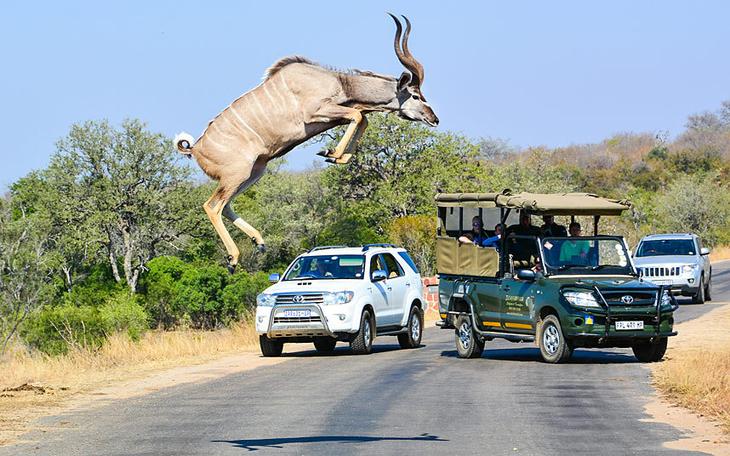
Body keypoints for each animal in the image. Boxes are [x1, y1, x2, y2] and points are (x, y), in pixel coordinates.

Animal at [175, 13, 438, 270]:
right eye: (415, 95)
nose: (434, 119)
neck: (340, 83)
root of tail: (196, 149)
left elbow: (362, 118)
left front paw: (336, 156)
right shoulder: (316, 113)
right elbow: (358, 116)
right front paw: (331, 153)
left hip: (254, 172)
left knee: (227, 205)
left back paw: (259, 242)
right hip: (237, 175)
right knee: (212, 206)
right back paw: (233, 258)